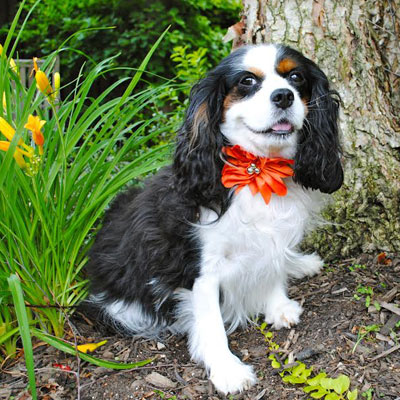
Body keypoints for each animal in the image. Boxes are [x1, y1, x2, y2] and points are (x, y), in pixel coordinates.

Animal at [86, 43, 342, 394]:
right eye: (247, 81)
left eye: (295, 77)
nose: (283, 96)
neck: (257, 168)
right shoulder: (201, 271)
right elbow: (211, 324)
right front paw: (227, 369)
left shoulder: (271, 237)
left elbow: (272, 265)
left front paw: (277, 305)